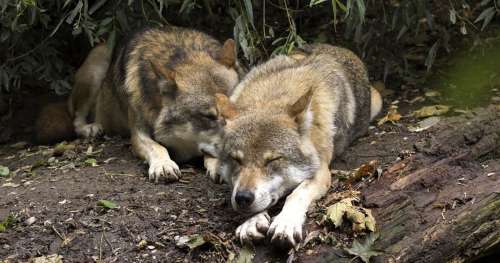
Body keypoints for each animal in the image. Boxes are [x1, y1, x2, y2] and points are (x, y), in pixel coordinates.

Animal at [36, 27, 237, 184]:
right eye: (209, 117)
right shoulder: (138, 134)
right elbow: (158, 147)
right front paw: (163, 165)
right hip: (96, 68)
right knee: (76, 118)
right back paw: (90, 128)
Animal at [215, 43, 382, 250]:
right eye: (236, 159)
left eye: (273, 159)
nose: (243, 198)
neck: (273, 96)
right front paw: (250, 222)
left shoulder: (321, 172)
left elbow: (296, 194)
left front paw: (285, 223)